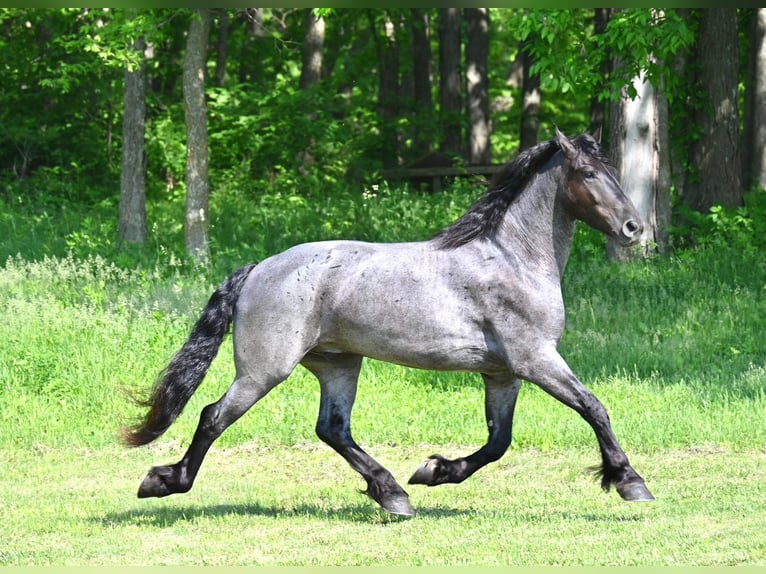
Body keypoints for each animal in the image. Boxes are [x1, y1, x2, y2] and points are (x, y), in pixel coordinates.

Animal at [123, 129, 656, 516]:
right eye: (588, 173)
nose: (635, 229)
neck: (512, 260)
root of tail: (260, 268)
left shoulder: (502, 374)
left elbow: (497, 442)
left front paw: (436, 470)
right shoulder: (537, 360)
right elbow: (594, 408)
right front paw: (630, 482)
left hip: (338, 364)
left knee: (332, 429)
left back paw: (394, 493)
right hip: (264, 371)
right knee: (214, 416)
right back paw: (163, 481)